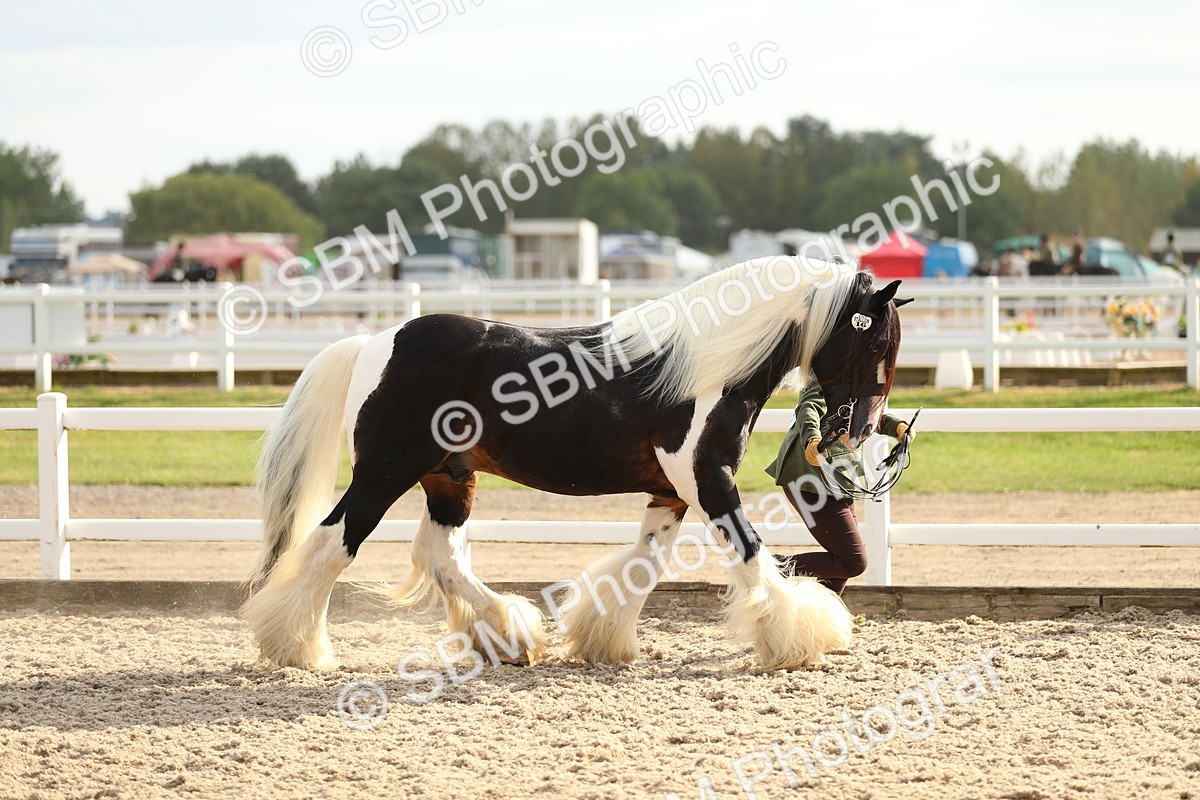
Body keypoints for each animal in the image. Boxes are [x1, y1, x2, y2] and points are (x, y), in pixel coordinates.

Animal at [242, 256, 907, 672]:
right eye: (874, 339)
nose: (862, 428)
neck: (706, 368)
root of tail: (374, 343)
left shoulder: (673, 492)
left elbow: (643, 564)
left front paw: (602, 640)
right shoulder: (709, 481)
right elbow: (750, 557)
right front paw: (798, 638)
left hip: (450, 479)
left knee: (440, 557)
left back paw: (510, 637)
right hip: (385, 474)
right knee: (332, 545)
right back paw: (295, 648)